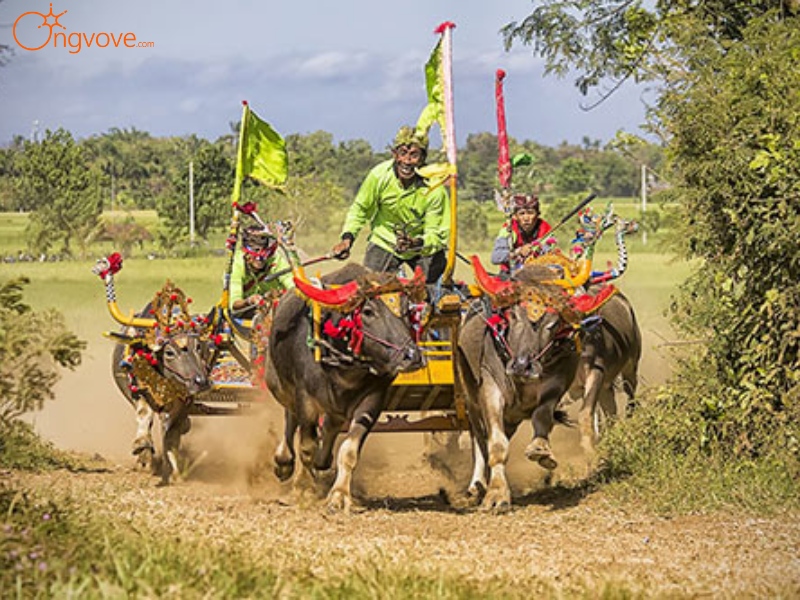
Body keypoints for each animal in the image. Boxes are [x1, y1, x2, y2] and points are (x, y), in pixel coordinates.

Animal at [264, 262, 428, 510]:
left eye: (407, 310)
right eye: (368, 312)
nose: (412, 356)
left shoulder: (372, 401)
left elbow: (348, 451)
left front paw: (339, 495)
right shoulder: (306, 399)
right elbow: (306, 447)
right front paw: (303, 488)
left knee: (329, 429)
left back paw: (322, 462)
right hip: (279, 385)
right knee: (290, 417)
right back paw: (283, 462)